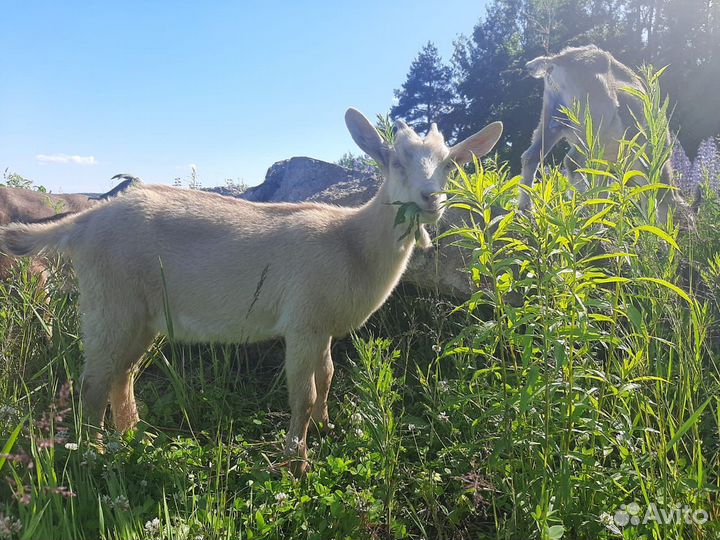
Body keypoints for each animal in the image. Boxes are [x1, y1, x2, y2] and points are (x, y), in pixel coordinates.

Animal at [0, 111, 502, 475]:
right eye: (394, 161)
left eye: (450, 164)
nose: (430, 199)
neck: (351, 243)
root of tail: (84, 222)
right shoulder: (303, 321)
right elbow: (303, 391)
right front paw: (297, 461)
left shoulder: (322, 326)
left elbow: (328, 376)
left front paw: (326, 427)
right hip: (110, 300)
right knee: (93, 380)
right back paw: (95, 453)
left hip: (141, 313)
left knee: (123, 373)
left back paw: (133, 436)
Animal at [519, 44, 687, 225]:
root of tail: (558, 60)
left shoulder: (604, 164)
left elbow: (603, 193)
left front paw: (600, 219)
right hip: (591, 125)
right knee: (572, 162)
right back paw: (581, 208)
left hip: (550, 121)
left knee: (531, 157)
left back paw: (526, 211)